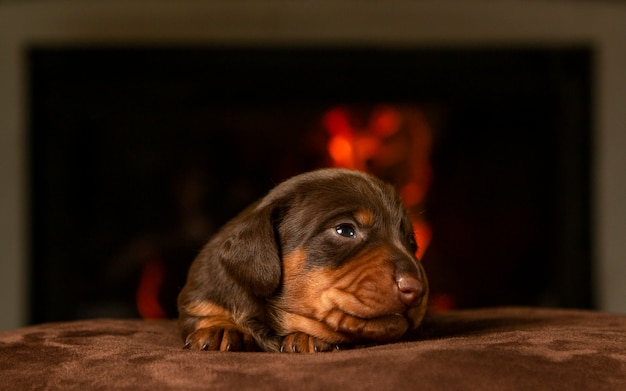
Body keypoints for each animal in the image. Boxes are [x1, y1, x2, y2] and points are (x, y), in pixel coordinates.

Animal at [178, 170, 426, 354]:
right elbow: (206, 312)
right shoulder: (202, 293)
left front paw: (306, 336)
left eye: (411, 242)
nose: (415, 289)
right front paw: (220, 327)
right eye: (345, 230)